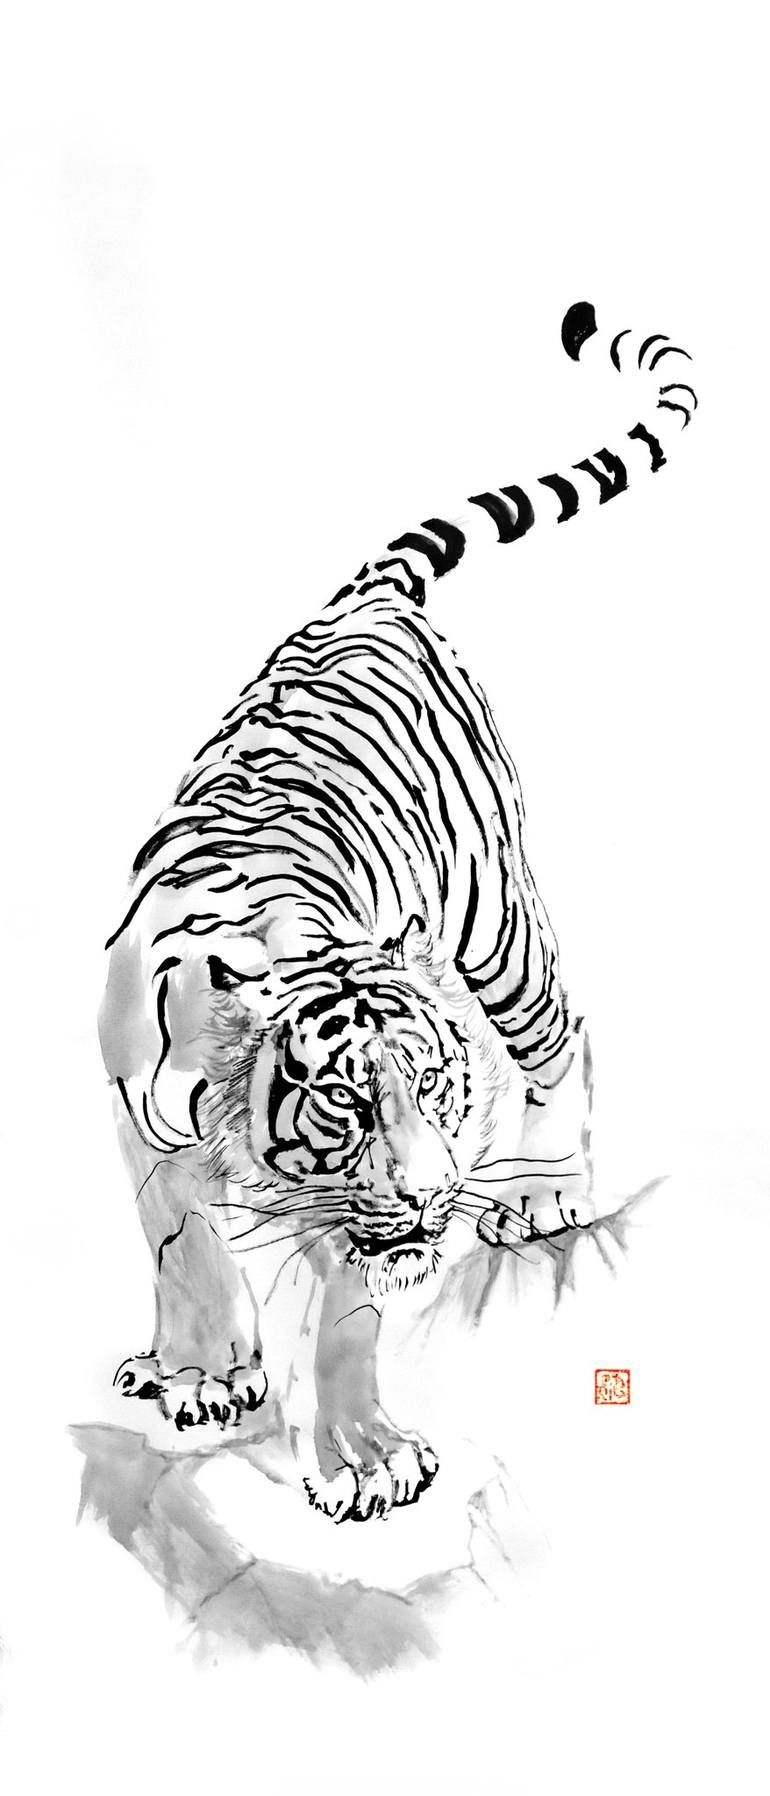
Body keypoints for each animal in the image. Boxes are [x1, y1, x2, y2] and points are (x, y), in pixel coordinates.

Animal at [99, 300, 697, 1523]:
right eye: (342, 1101)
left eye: (434, 1088)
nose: (433, 1197)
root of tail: (369, 594)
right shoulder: (134, 1108)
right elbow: (179, 1235)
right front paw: (200, 1372)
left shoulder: (364, 1217)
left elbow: (350, 1304)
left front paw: (366, 1456)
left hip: (500, 927)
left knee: (564, 1034)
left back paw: (546, 1188)